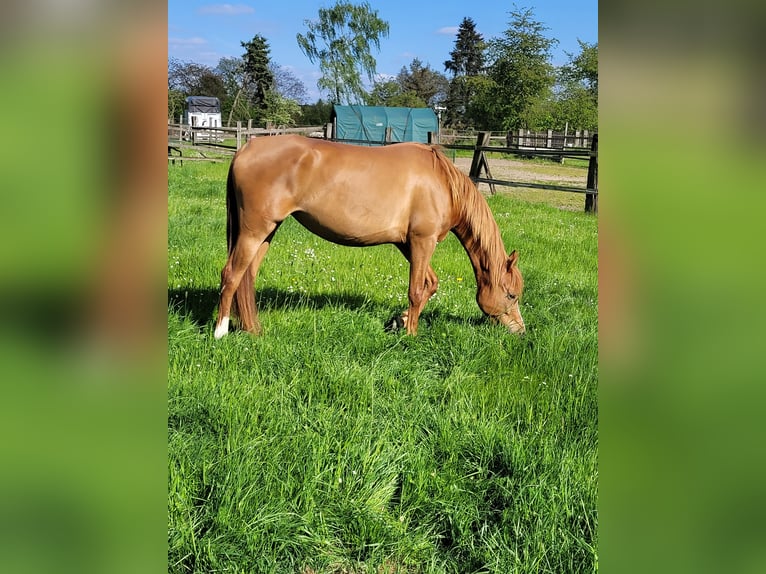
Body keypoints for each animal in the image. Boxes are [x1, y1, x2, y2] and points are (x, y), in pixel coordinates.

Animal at [213, 135, 525, 338]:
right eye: (511, 294)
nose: (520, 331)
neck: (442, 184)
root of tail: (245, 149)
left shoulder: (406, 243)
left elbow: (430, 284)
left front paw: (401, 320)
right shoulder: (422, 241)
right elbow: (416, 290)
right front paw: (411, 335)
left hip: (267, 232)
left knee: (247, 278)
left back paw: (253, 330)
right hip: (254, 231)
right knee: (231, 275)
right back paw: (221, 331)